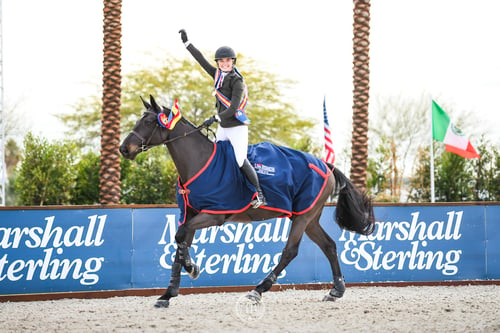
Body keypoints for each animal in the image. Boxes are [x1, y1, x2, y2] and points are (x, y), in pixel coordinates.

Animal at [118, 94, 376, 308]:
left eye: (148, 122)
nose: (124, 149)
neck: (199, 162)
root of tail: (325, 165)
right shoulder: (189, 214)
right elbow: (180, 245)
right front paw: (168, 293)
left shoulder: (214, 215)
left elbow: (180, 238)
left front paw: (192, 269)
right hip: (309, 217)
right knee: (329, 245)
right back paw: (336, 290)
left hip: (303, 217)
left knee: (290, 251)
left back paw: (258, 290)